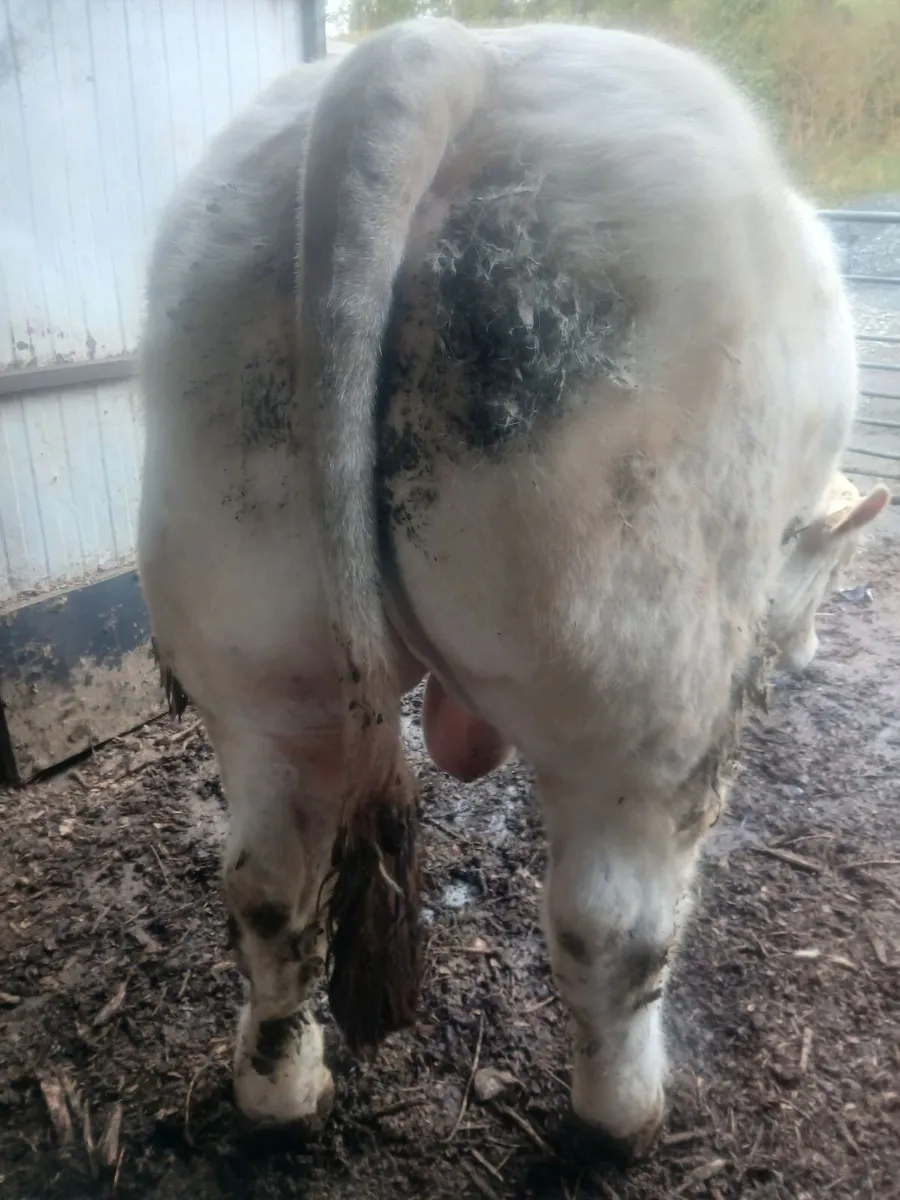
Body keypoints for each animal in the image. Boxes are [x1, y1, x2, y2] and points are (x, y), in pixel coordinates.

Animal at [137, 19, 889, 1161]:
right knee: (611, 926)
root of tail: (439, 50)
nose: (804, 655)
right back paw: (626, 1117)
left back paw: (282, 1093)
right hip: (640, 675)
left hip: (257, 640)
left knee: (268, 886)